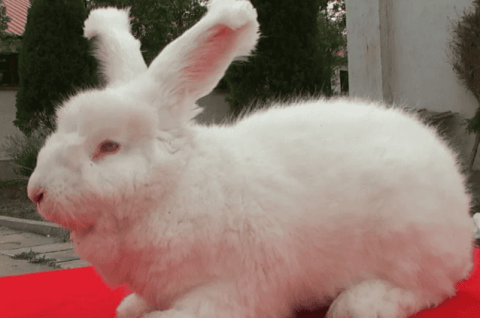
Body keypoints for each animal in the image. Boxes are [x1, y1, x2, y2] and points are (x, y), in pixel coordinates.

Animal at [28, 0, 474, 318]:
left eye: (109, 147)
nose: (35, 193)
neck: (173, 186)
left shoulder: (228, 292)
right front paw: (131, 306)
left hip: (408, 243)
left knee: (432, 288)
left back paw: (358, 303)